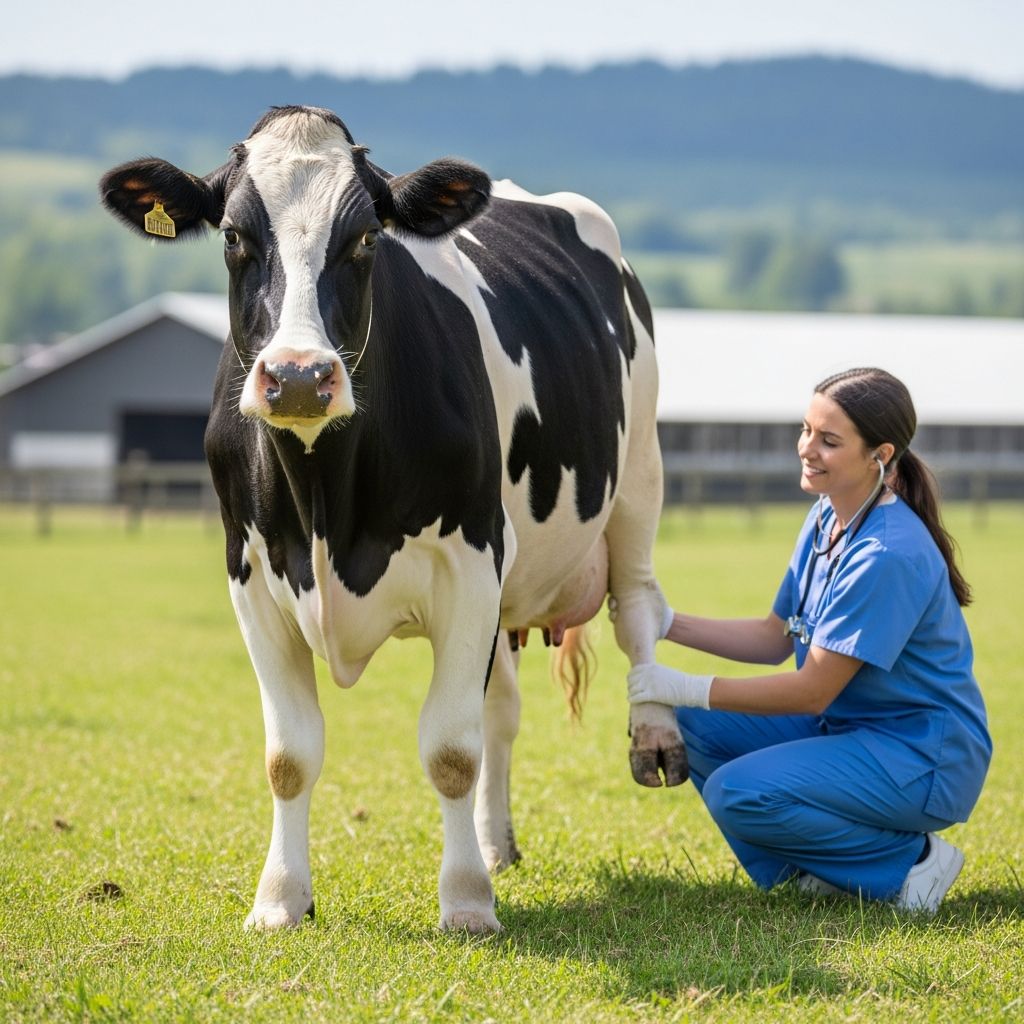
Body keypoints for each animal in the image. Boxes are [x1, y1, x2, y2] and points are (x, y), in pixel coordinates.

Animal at [99, 105, 687, 934]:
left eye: (368, 238)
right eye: (234, 235)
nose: (300, 377)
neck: (326, 501)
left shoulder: (470, 562)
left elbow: (449, 750)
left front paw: (466, 903)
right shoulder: (250, 577)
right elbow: (290, 756)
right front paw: (281, 900)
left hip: (638, 477)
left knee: (638, 610)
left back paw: (655, 738)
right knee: (501, 706)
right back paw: (495, 843)